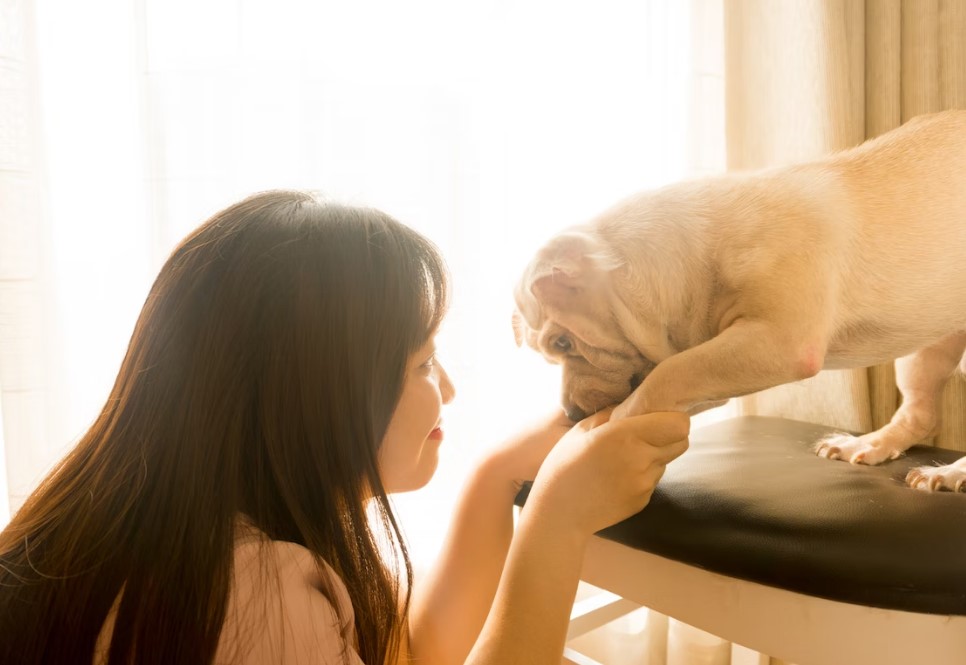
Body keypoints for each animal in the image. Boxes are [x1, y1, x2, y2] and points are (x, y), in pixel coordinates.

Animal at [520, 109, 966, 490]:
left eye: (563, 343)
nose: (571, 415)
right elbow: (675, 380)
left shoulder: (775, 342)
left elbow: (667, 376)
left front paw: (603, 440)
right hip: (926, 346)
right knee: (920, 410)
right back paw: (869, 443)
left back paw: (951, 474)